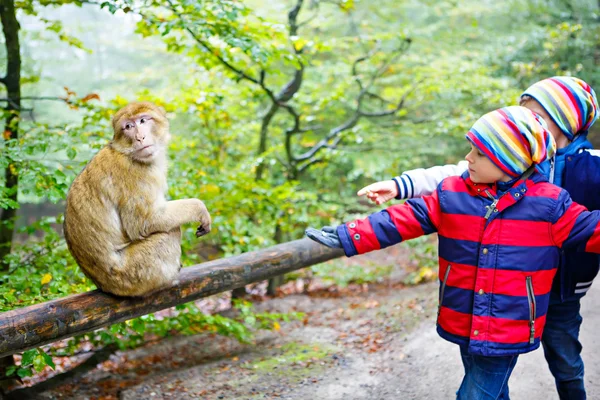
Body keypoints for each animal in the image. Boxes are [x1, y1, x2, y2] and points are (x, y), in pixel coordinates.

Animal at [65, 102, 211, 296]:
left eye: (142, 120)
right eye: (128, 126)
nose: (140, 137)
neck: (129, 154)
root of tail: (105, 286)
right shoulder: (135, 174)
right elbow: (143, 222)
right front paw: (199, 208)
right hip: (135, 273)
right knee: (170, 232)